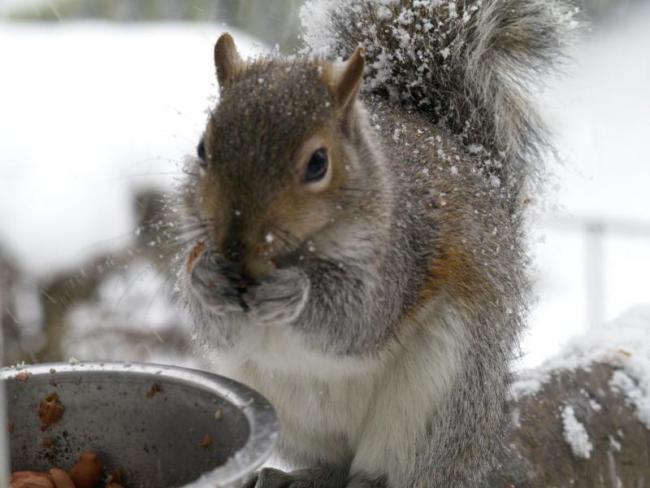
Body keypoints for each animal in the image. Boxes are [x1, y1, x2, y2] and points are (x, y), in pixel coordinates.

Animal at [175, 1, 576, 486]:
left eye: (318, 163)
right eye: (202, 149)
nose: (234, 248)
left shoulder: (403, 249)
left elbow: (361, 319)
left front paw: (294, 292)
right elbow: (215, 322)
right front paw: (205, 278)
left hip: (438, 404)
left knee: (395, 468)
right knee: (333, 462)